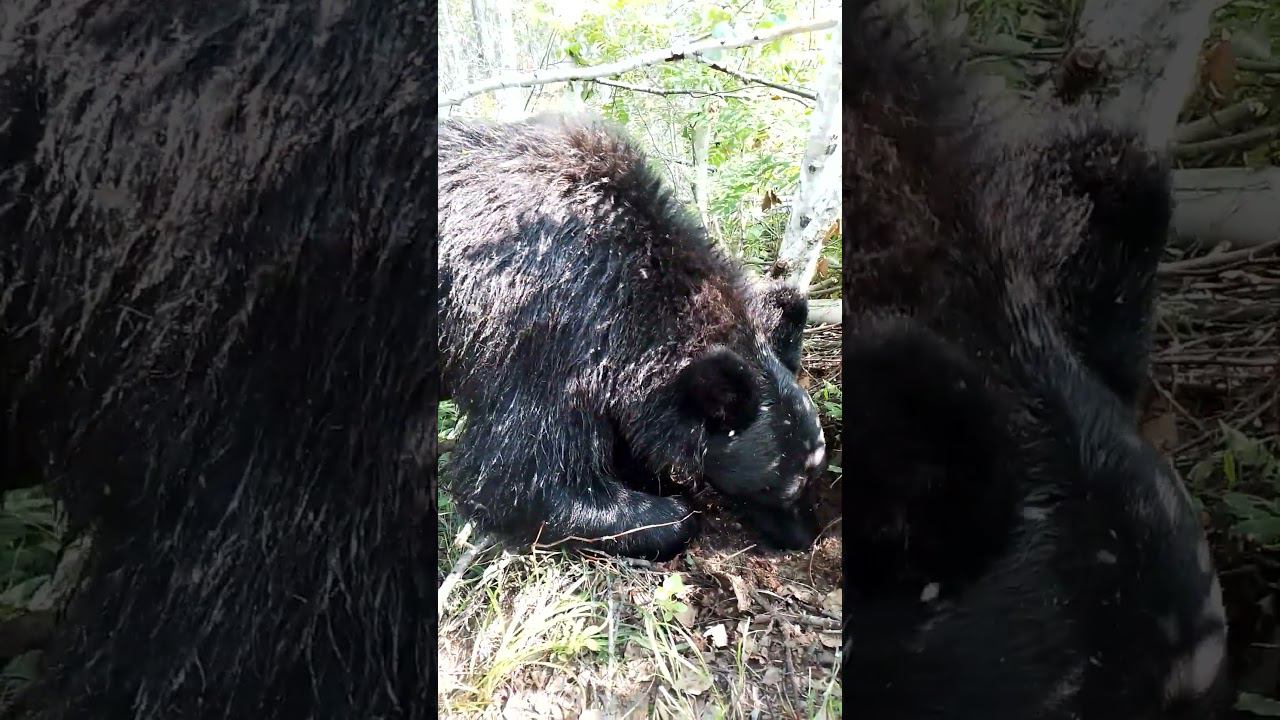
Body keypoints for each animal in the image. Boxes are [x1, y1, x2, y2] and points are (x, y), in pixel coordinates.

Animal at [437, 114, 825, 562]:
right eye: (781, 489)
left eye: (814, 474)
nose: (808, 538)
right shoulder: (540, 337)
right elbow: (519, 478)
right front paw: (666, 513)